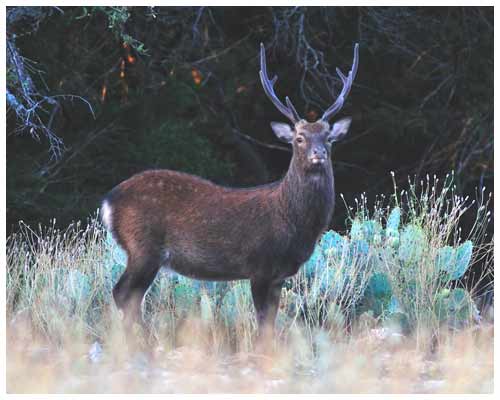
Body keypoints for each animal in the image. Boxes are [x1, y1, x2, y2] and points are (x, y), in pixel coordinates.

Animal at [102, 42, 360, 346]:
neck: (293, 223)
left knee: (127, 297)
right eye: (299, 138)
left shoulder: (279, 276)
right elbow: (263, 323)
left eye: (329, 137)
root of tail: (109, 201)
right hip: (143, 247)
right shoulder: (259, 266)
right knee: (122, 293)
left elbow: (271, 322)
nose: (318, 153)